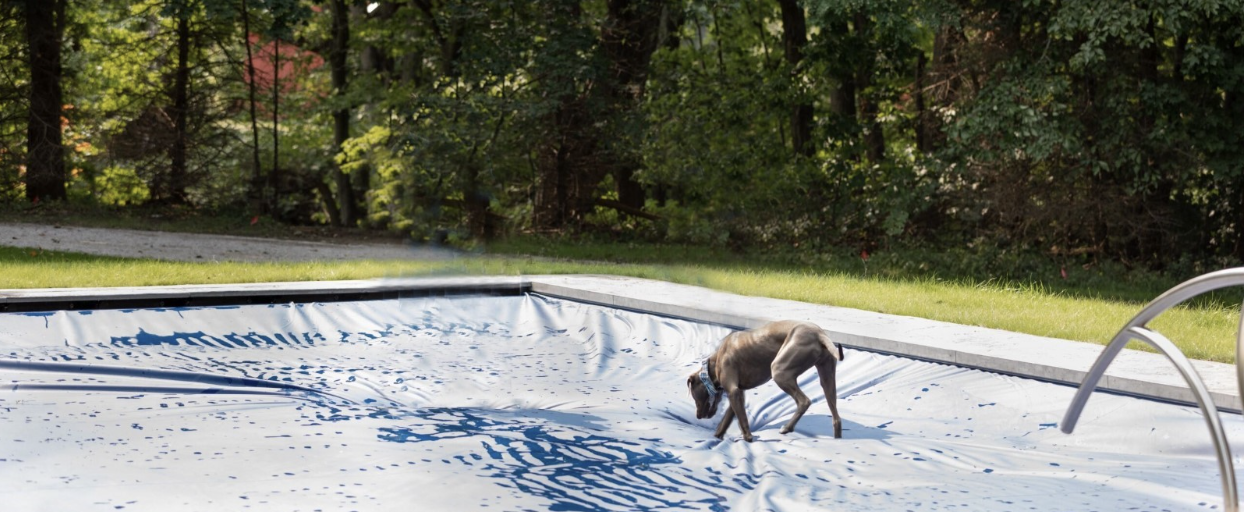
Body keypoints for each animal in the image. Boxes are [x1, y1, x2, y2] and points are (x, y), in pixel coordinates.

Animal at [687, 323, 842, 443]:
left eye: (694, 397)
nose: (698, 416)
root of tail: (819, 333)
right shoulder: (737, 394)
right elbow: (728, 420)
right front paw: (717, 436)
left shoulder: (733, 391)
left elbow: (743, 420)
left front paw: (748, 438)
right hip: (827, 379)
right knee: (836, 416)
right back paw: (837, 439)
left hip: (779, 371)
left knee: (804, 401)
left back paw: (786, 428)